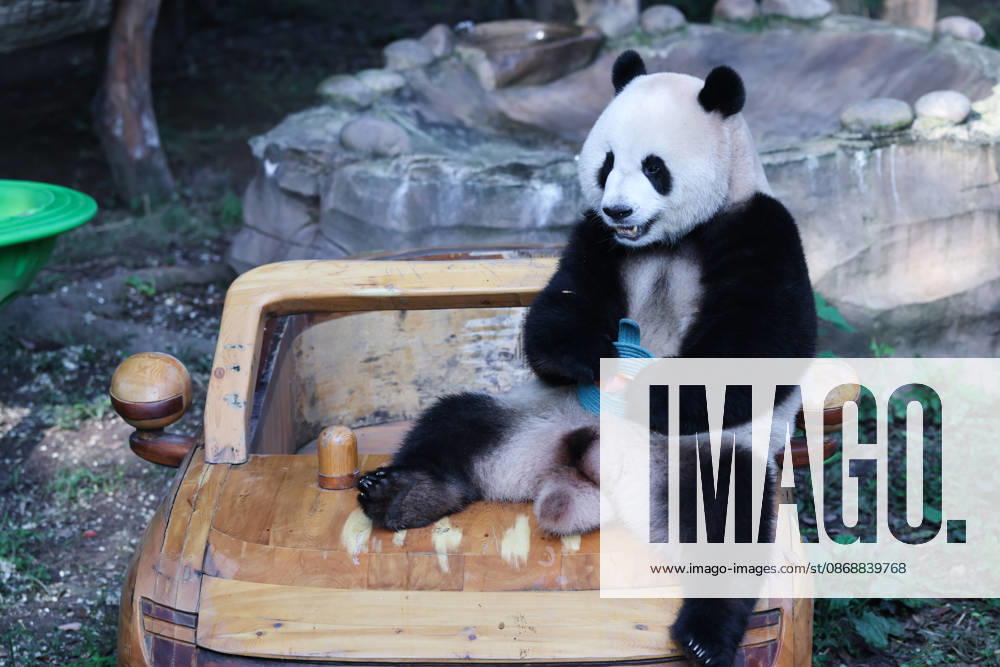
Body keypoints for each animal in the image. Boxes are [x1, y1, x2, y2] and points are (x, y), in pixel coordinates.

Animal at [357, 50, 817, 666]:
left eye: (653, 167)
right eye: (607, 162)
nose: (618, 208)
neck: (664, 240)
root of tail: (590, 476)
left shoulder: (758, 228)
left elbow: (762, 344)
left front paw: (650, 387)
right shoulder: (594, 238)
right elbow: (556, 311)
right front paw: (592, 356)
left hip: (697, 454)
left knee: (725, 517)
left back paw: (705, 634)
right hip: (530, 419)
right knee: (456, 423)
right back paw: (401, 494)